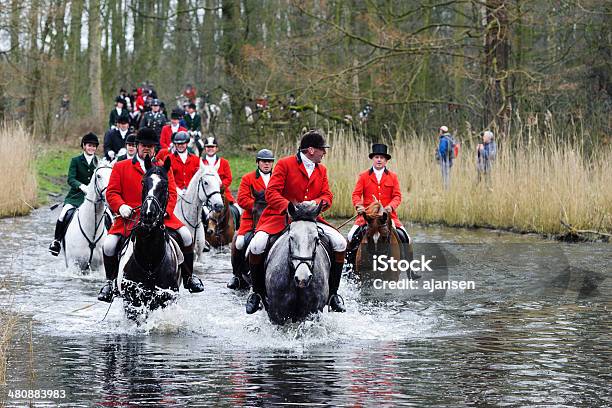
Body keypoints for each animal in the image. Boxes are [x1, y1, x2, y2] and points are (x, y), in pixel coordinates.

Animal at [118, 158, 182, 320]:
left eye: (165, 185)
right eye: (143, 183)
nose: (148, 214)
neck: (149, 260)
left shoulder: (166, 299)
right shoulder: (131, 301)